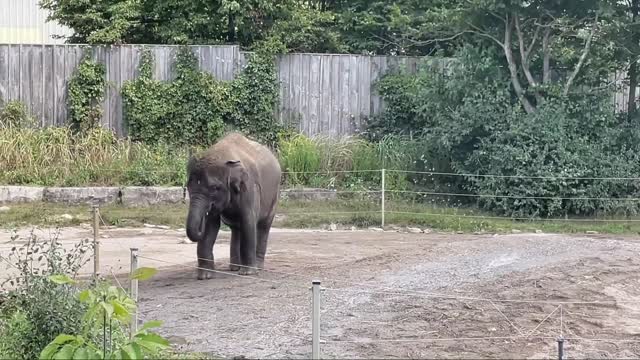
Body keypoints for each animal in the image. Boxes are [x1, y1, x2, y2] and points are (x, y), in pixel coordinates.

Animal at [186, 131, 284, 278]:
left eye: (214, 188)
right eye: (188, 186)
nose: (205, 212)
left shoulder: (250, 187)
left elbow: (248, 220)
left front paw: (248, 273)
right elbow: (211, 225)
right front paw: (204, 276)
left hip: (275, 195)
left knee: (263, 226)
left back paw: (257, 267)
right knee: (236, 229)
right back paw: (234, 268)